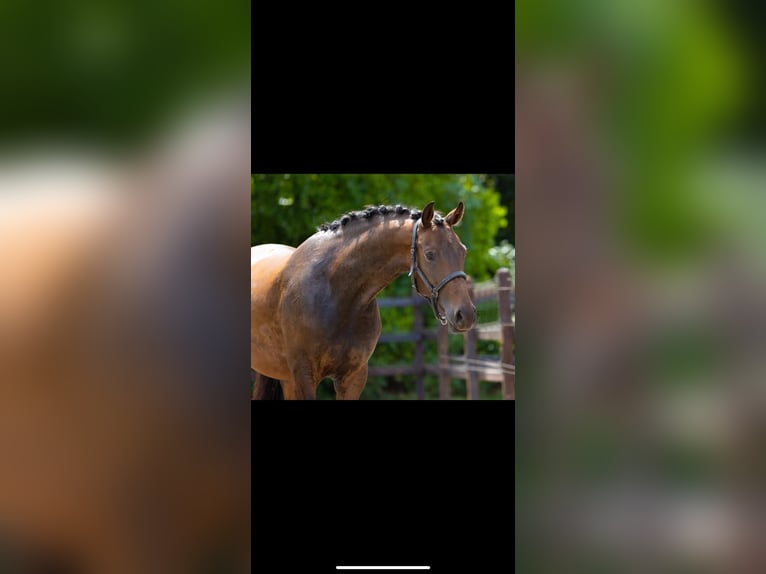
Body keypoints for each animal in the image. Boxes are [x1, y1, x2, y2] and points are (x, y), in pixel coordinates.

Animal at [251, 201, 477, 400]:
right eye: (430, 254)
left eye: (463, 251)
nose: (465, 314)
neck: (338, 293)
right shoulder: (304, 376)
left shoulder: (353, 377)